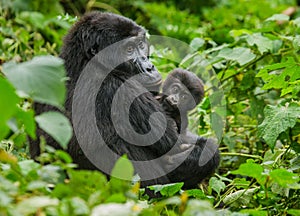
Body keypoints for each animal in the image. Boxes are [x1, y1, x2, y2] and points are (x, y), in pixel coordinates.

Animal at [29, 11, 218, 188]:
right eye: (128, 50)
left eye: (141, 45)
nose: (149, 67)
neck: (85, 62)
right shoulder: (121, 88)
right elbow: (176, 143)